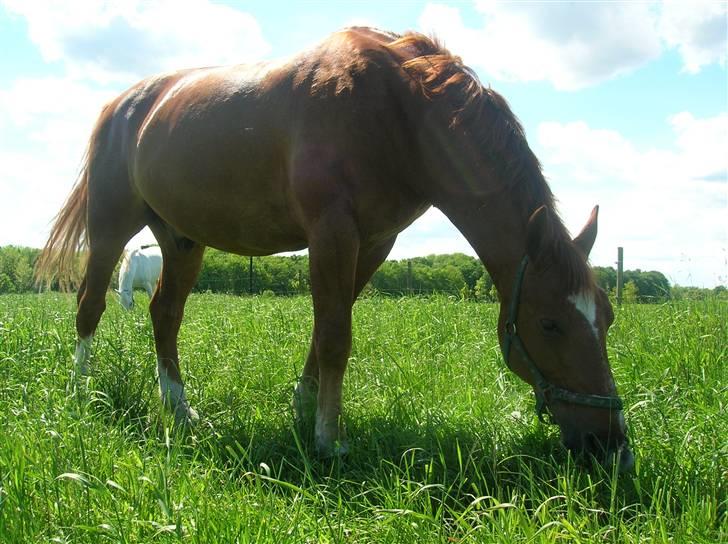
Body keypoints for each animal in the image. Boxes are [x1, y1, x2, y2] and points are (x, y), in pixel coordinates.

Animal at [35, 27, 632, 472]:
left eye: (606, 318)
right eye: (550, 323)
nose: (613, 447)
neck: (401, 112)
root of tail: (122, 105)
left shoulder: (373, 242)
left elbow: (326, 328)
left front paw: (304, 414)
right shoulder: (331, 232)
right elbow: (336, 337)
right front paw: (329, 439)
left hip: (182, 239)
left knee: (165, 314)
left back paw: (179, 409)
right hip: (111, 226)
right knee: (90, 306)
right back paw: (81, 392)